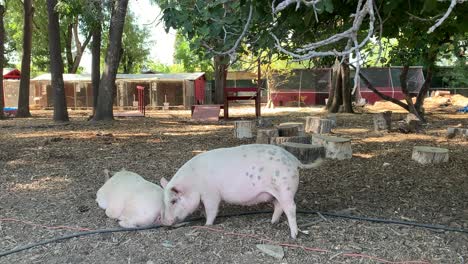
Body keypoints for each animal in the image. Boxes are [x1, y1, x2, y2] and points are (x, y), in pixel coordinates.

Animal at [161, 143, 322, 238]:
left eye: (173, 200)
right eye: (164, 201)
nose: (165, 221)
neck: (193, 183)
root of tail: (294, 160)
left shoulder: (211, 194)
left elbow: (212, 210)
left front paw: (207, 225)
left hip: (285, 188)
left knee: (291, 208)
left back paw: (294, 235)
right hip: (274, 193)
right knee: (278, 206)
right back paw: (272, 222)